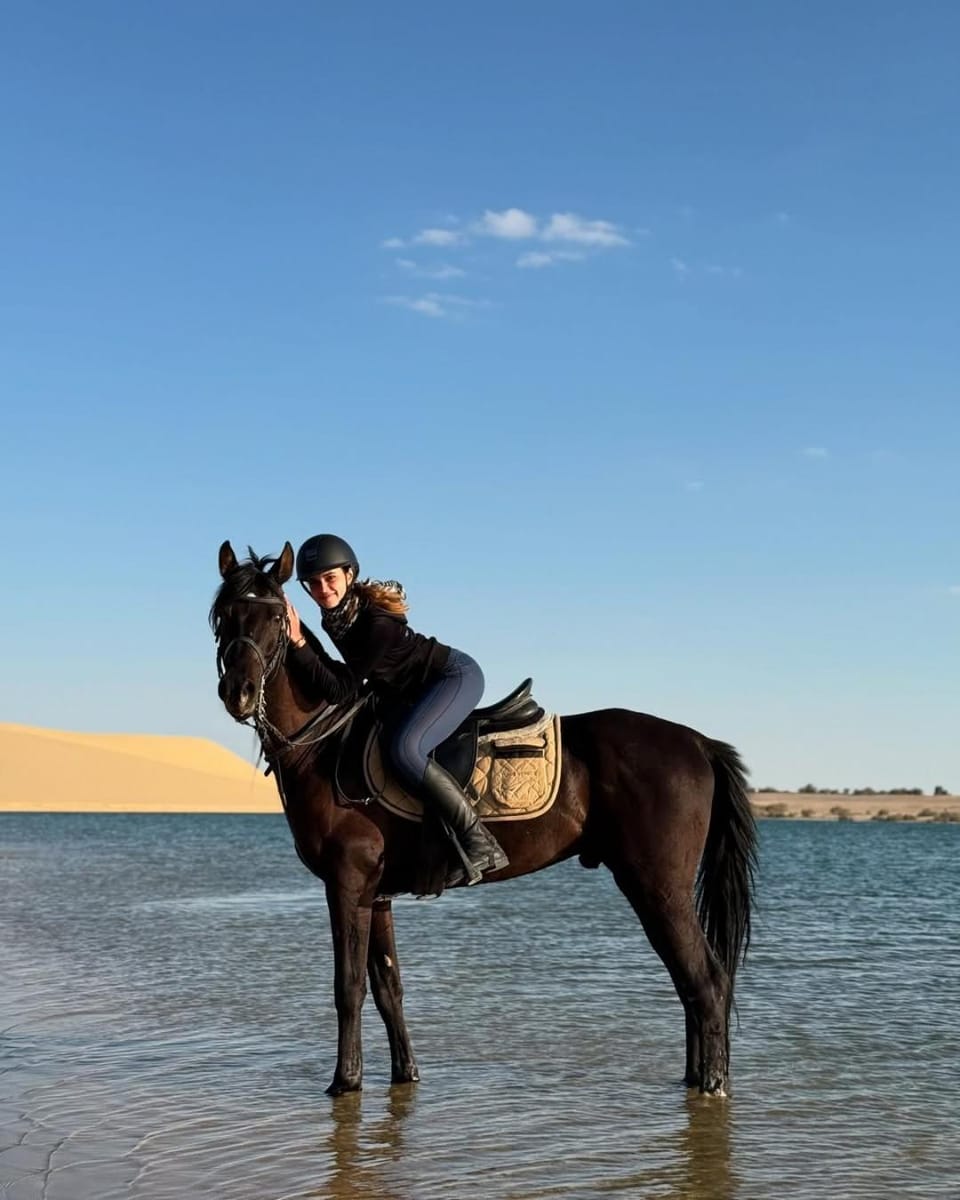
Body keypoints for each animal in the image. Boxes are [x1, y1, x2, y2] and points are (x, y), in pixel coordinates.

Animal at [211, 541, 758, 1097]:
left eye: (275, 618)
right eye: (223, 616)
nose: (238, 692)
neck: (327, 744)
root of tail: (697, 742)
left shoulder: (346, 884)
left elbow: (349, 987)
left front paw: (345, 1082)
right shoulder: (375, 893)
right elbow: (388, 986)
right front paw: (404, 1074)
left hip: (657, 885)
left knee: (705, 981)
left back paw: (712, 1085)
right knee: (690, 984)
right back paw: (696, 1081)